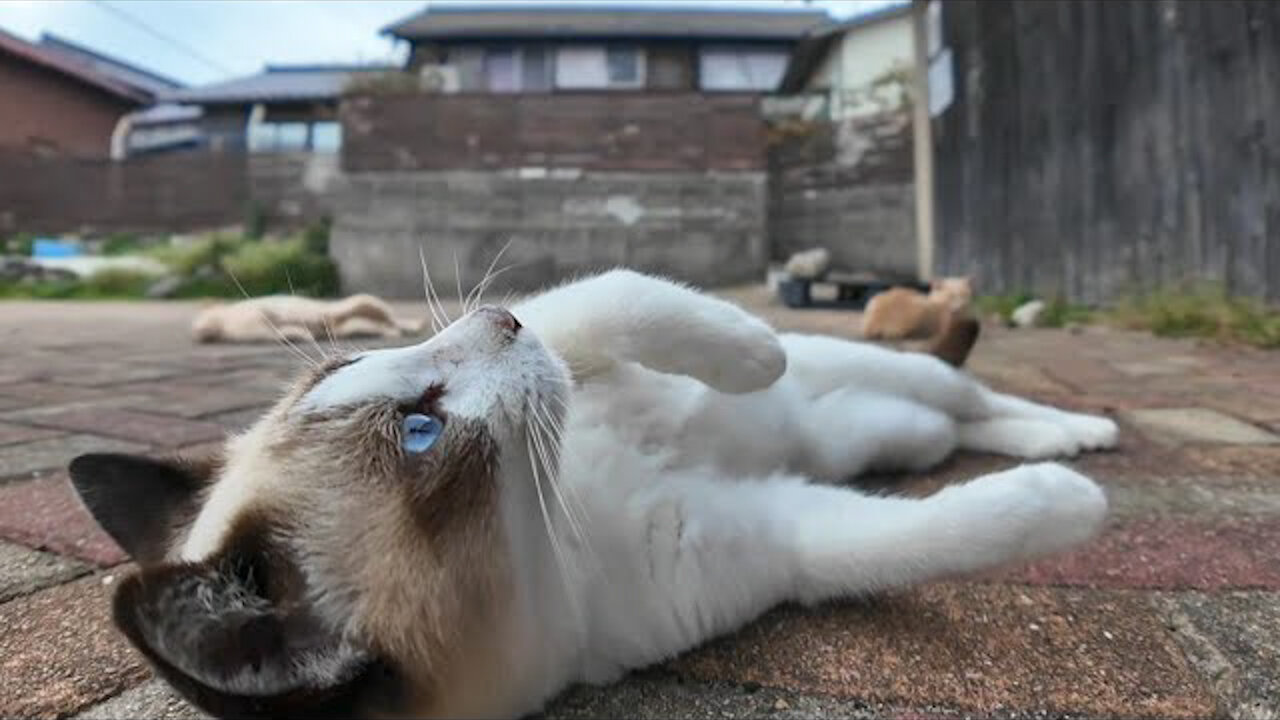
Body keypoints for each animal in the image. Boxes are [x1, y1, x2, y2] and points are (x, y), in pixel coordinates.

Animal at [70, 266, 1116, 712]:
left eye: (353, 361)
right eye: (420, 435)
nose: (499, 315)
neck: (554, 515)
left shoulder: (570, 332)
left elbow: (621, 297)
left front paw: (750, 352)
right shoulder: (776, 537)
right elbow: (922, 538)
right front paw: (1070, 506)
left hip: (876, 382)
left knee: (961, 394)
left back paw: (1085, 427)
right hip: (877, 434)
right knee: (946, 430)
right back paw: (1065, 454)